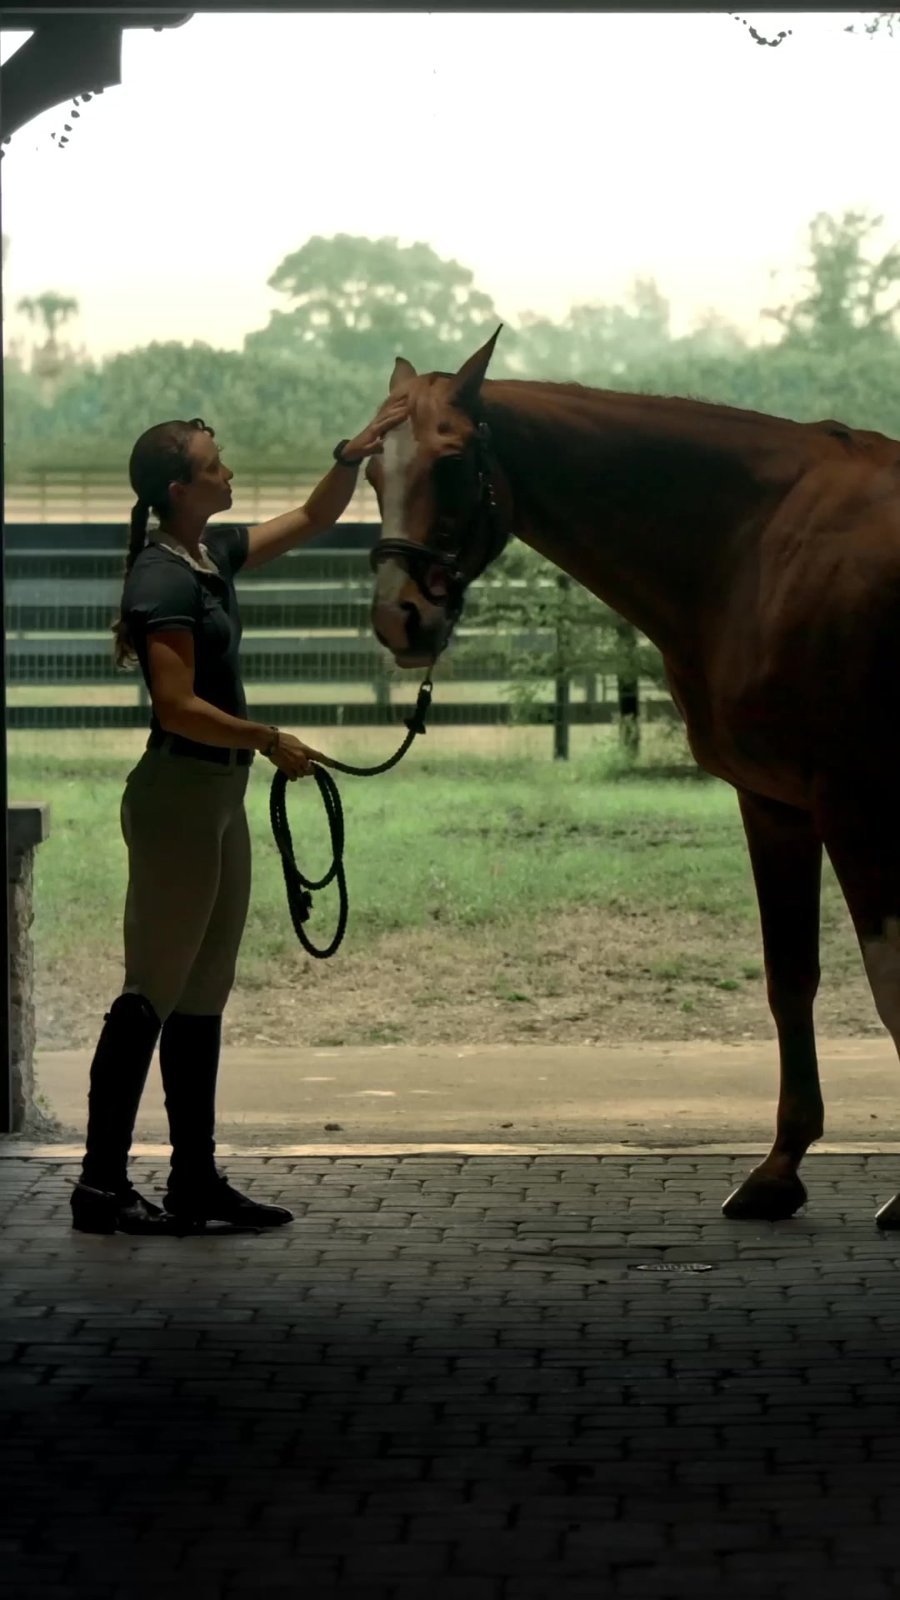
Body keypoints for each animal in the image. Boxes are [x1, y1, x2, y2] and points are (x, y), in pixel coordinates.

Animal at [363, 325, 900, 1229]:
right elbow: (790, 978)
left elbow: (891, 988)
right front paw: (777, 1170)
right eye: (370, 466)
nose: (402, 617)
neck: (761, 542)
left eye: (451, 459)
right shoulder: (776, 805)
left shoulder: (858, 806)